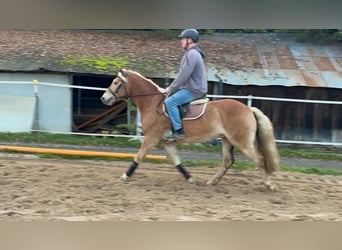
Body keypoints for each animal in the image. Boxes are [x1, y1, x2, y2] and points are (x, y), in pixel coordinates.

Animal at [100, 69, 280, 190]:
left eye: (116, 82)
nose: (104, 98)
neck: (152, 103)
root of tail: (248, 109)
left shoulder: (151, 138)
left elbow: (139, 157)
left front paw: (124, 176)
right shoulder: (166, 141)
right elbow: (177, 162)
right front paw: (191, 179)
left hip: (242, 143)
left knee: (260, 160)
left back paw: (269, 184)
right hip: (226, 140)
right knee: (228, 161)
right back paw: (212, 182)